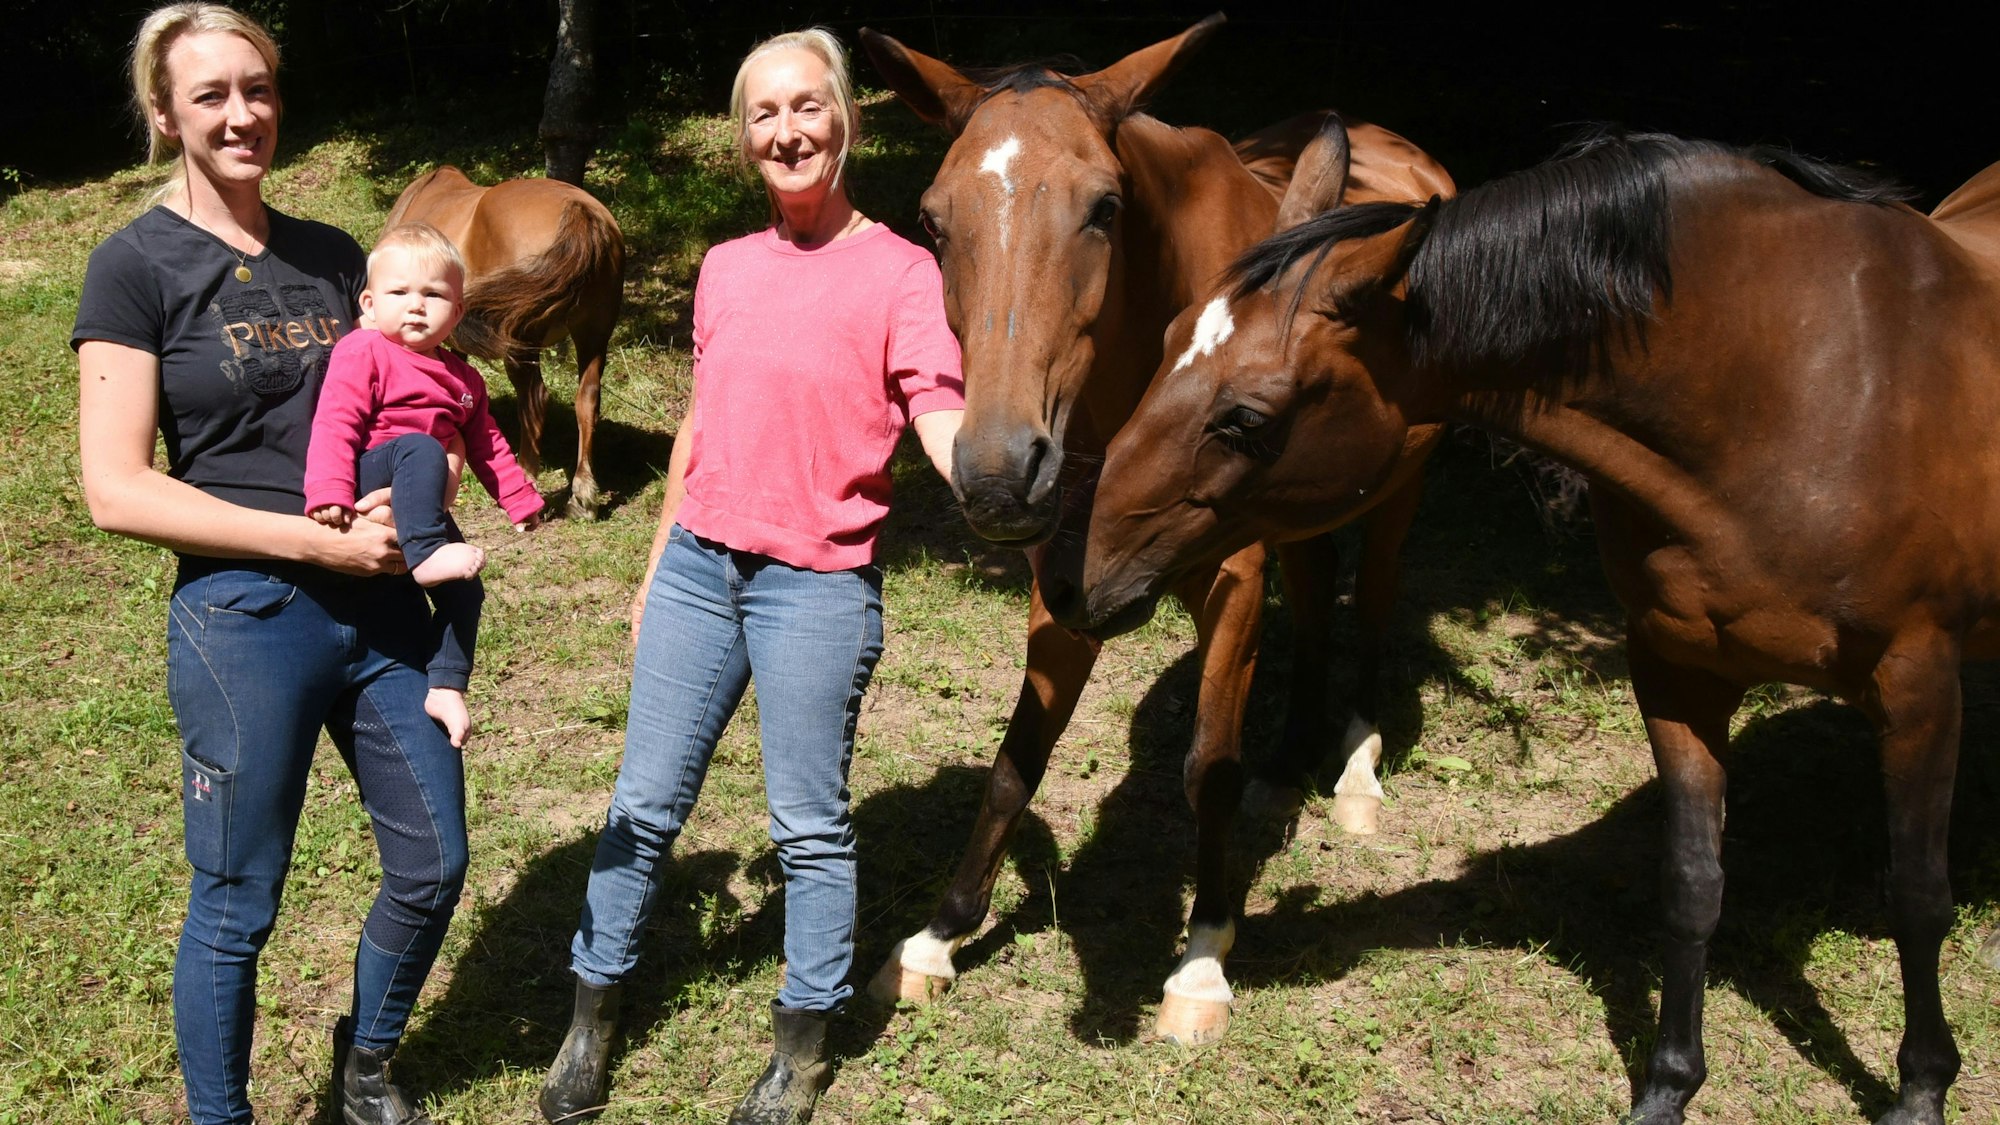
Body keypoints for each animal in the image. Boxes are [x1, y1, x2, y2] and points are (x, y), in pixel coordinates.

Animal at [385, 167, 624, 518]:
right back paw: (582, 496)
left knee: (535, 399)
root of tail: (582, 212)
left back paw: (527, 480)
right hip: (593, 336)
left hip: (521, 345)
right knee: (588, 400)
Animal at [858, 16, 1453, 1044]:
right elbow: (1015, 763)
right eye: (934, 221)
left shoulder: (1232, 582)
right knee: (1316, 588)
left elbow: (1206, 766)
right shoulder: (1064, 588)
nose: (999, 473)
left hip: (1399, 491)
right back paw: (1287, 762)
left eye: (1104, 207)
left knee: (1371, 600)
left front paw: (1203, 960)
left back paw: (1354, 767)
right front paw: (937, 938)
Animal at [1059, 118, 2000, 1124]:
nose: (1073, 579)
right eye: (1164, 342)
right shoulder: (1678, 673)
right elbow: (1691, 882)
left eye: (1245, 417)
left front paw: (1921, 1086)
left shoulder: (1917, 686)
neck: (1795, 390)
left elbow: (1918, 897)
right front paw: (1669, 1083)